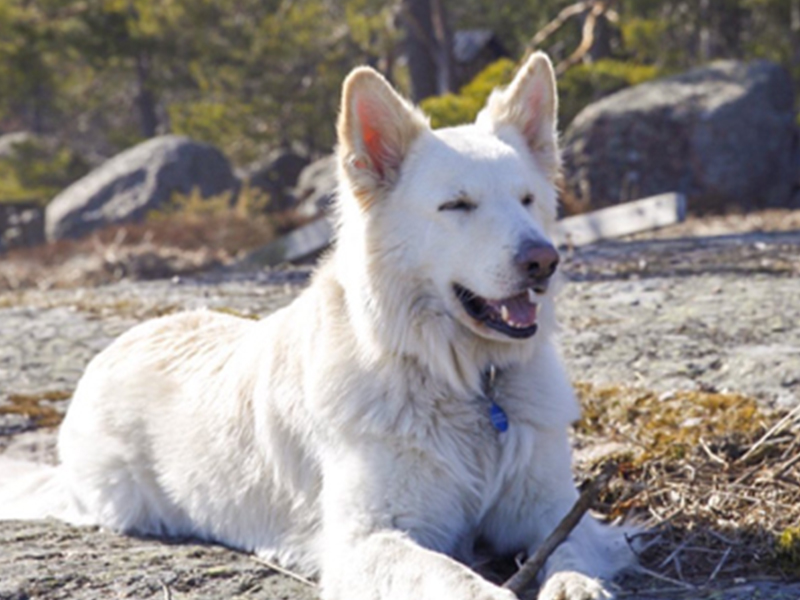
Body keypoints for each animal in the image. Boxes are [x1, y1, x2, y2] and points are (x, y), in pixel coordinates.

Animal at [3, 52, 636, 600]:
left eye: (527, 200)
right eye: (456, 205)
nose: (543, 261)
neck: (465, 383)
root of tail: (123, 340)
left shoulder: (553, 510)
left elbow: (570, 549)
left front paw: (576, 585)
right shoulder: (366, 540)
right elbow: (451, 577)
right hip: (120, 502)